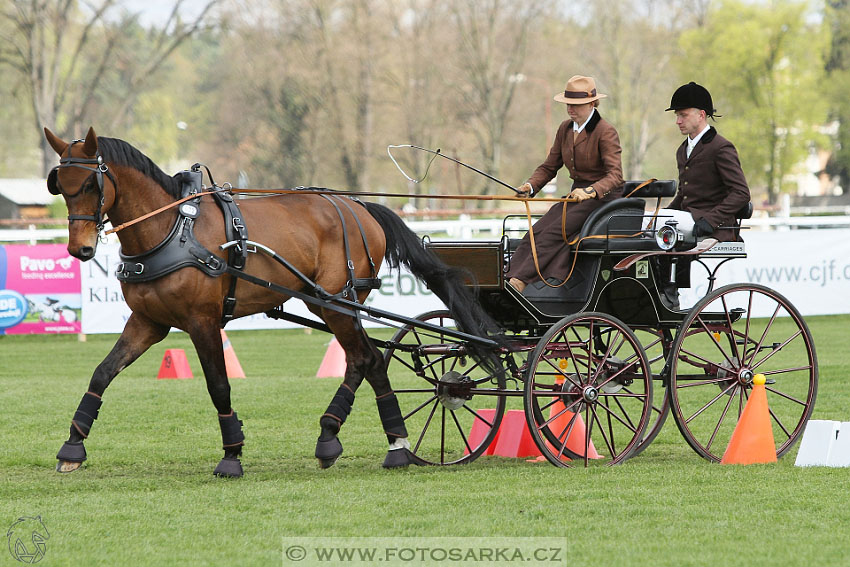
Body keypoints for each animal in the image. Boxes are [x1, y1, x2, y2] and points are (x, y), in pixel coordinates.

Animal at [44, 126, 496, 478]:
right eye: (60, 186)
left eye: (91, 185)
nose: (80, 250)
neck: (173, 230)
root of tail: (358, 205)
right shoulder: (148, 321)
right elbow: (102, 373)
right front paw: (72, 447)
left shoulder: (202, 321)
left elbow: (219, 385)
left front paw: (231, 455)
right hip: (331, 305)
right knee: (363, 360)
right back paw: (345, 438)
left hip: (337, 303)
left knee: (366, 359)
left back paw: (390, 443)